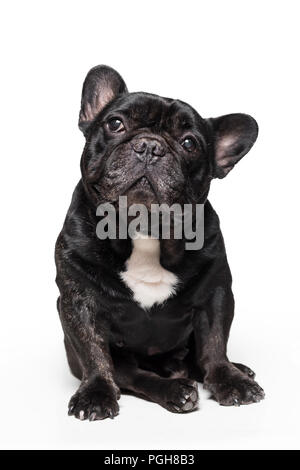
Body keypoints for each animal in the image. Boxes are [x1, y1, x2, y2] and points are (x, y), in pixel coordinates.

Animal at [55, 64, 264, 420]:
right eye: (115, 123)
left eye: (190, 142)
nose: (150, 146)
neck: (144, 229)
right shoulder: (77, 300)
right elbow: (94, 352)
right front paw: (95, 393)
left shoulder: (216, 294)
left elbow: (215, 343)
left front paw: (229, 380)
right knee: (132, 374)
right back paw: (175, 390)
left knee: (197, 360)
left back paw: (234, 370)